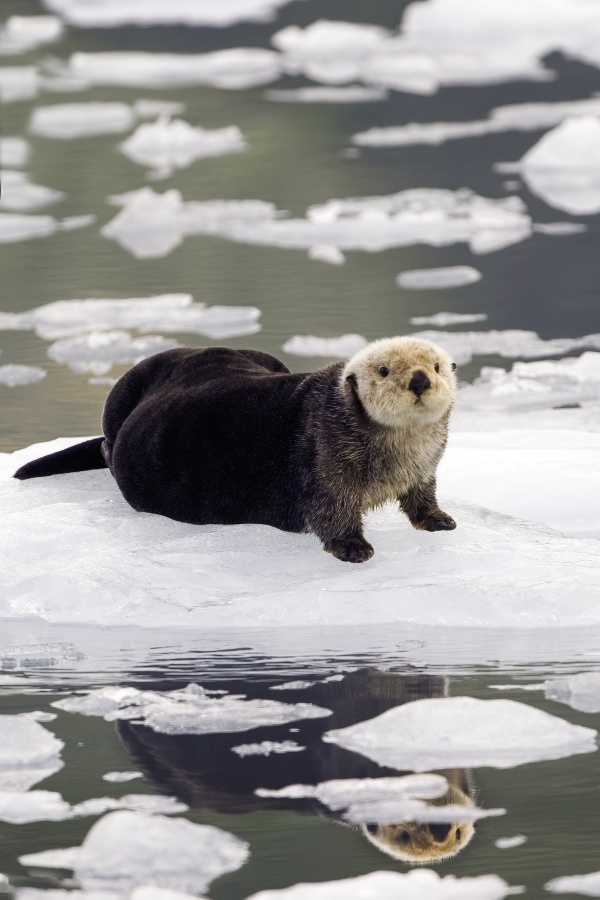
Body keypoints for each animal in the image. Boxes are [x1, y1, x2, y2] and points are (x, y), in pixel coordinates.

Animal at [13, 337, 457, 562]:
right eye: (383, 370)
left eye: (436, 366)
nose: (420, 380)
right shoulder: (323, 457)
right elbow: (330, 510)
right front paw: (354, 548)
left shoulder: (425, 466)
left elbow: (423, 494)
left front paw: (439, 520)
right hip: (121, 396)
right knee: (107, 445)